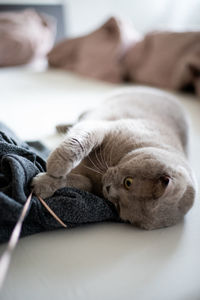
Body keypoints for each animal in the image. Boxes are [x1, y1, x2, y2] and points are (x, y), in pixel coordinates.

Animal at [32, 86, 196, 230]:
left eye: (119, 206)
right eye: (128, 182)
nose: (108, 189)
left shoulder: (91, 184)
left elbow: (79, 182)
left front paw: (43, 184)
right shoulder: (100, 128)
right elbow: (76, 144)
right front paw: (55, 167)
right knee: (81, 116)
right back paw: (61, 126)